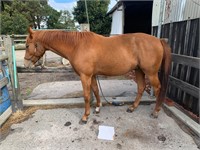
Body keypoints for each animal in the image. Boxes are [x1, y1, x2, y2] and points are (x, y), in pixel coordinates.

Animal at [24, 27, 171, 124]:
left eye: (26, 45)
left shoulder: (85, 76)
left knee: (158, 88)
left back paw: (156, 112)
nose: (25, 64)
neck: (76, 46)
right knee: (141, 87)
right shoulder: (92, 75)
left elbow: (86, 96)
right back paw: (132, 108)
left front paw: (85, 116)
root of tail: (158, 40)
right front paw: (98, 108)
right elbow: (95, 90)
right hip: (139, 70)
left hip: (150, 73)